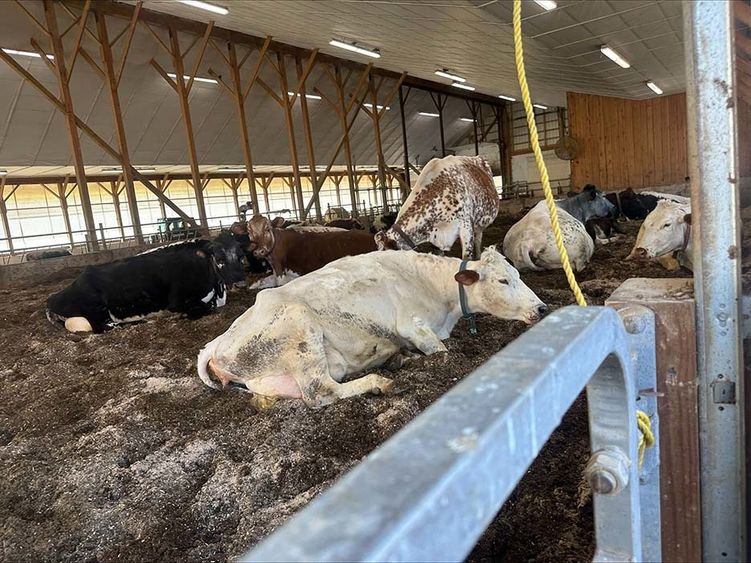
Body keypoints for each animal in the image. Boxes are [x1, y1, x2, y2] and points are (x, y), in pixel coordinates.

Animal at [47, 231, 245, 332]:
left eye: (241, 257)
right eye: (219, 260)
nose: (241, 284)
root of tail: (52, 297)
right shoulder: (176, 302)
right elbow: (206, 308)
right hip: (95, 308)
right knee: (105, 326)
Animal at [197, 249, 548, 408]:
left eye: (517, 275)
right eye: (503, 281)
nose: (542, 308)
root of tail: (217, 343)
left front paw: (405, 357)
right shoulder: (413, 325)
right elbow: (442, 353)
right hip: (301, 332)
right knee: (320, 392)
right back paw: (380, 381)